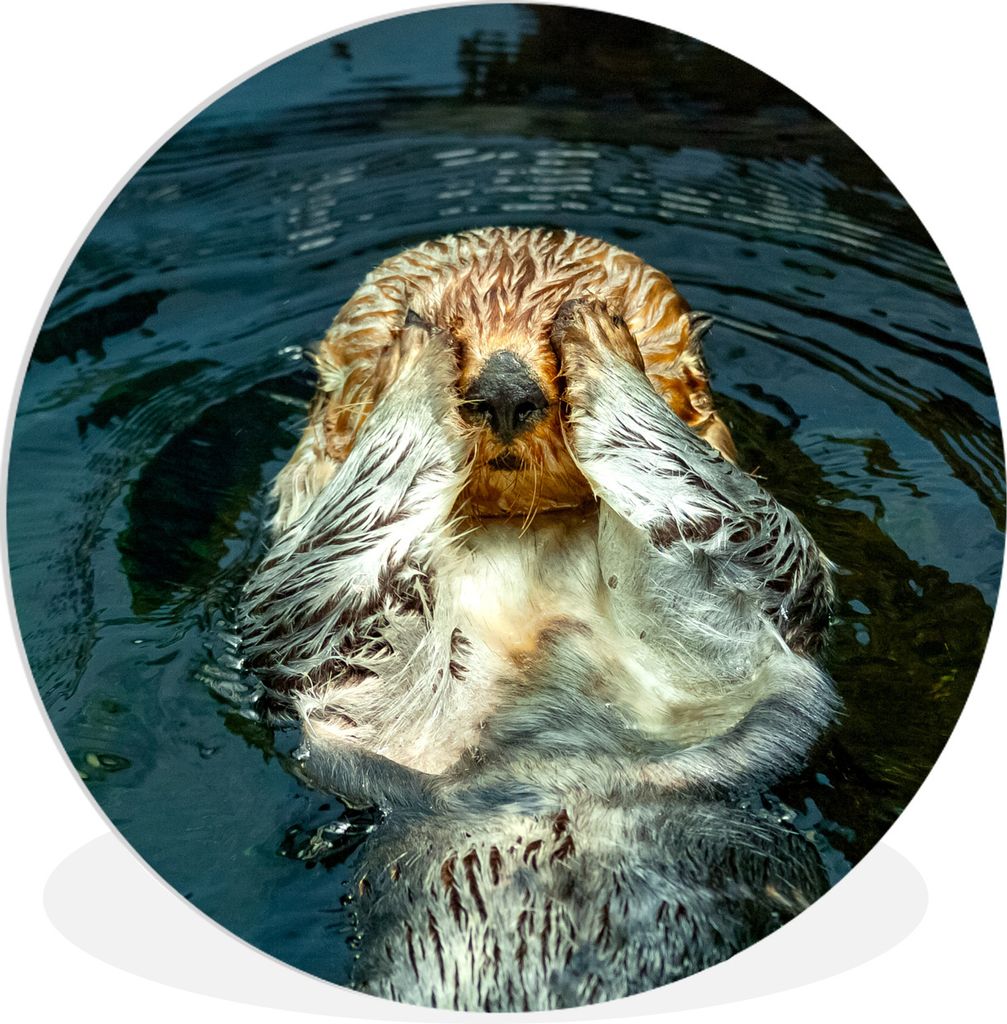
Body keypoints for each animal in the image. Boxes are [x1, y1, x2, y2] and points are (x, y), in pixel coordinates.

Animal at [240, 227, 837, 1010]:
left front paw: (600, 337)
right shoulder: (322, 642)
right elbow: (331, 570)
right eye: (438, 314)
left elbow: (724, 520)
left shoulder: (749, 623)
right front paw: (414, 351)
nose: (503, 389)